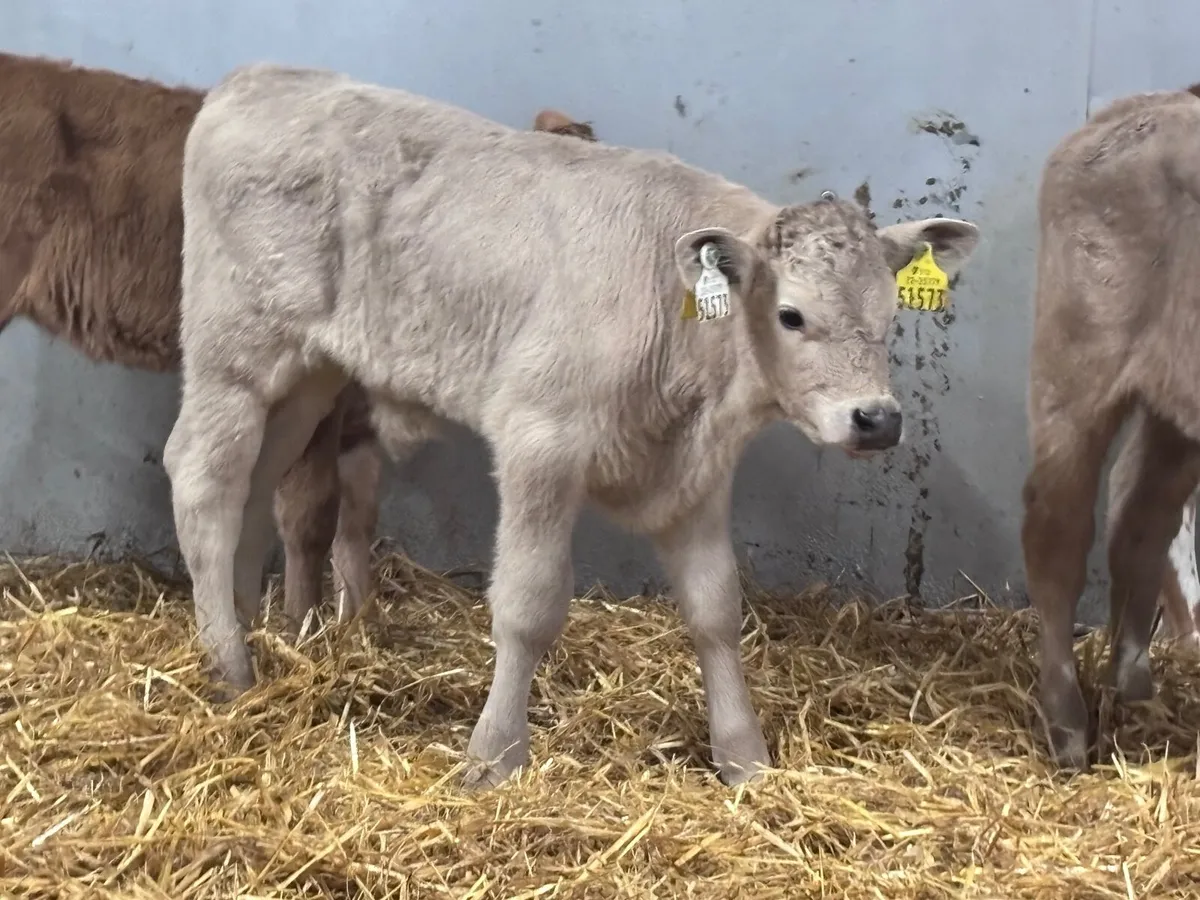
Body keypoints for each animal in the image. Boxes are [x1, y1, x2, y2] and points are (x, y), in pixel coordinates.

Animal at [163, 62, 981, 787]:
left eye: (891, 314)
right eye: (791, 315)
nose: (875, 419)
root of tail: (261, 77)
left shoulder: (697, 475)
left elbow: (717, 608)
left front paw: (745, 760)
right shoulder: (539, 441)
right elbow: (527, 606)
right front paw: (493, 758)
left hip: (307, 375)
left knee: (250, 486)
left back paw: (244, 626)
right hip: (234, 350)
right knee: (202, 476)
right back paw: (228, 667)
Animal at [1023, 84, 1200, 771]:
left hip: (1174, 402)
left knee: (1141, 519)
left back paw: (1133, 687)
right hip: (1079, 360)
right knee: (1058, 530)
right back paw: (1069, 726)